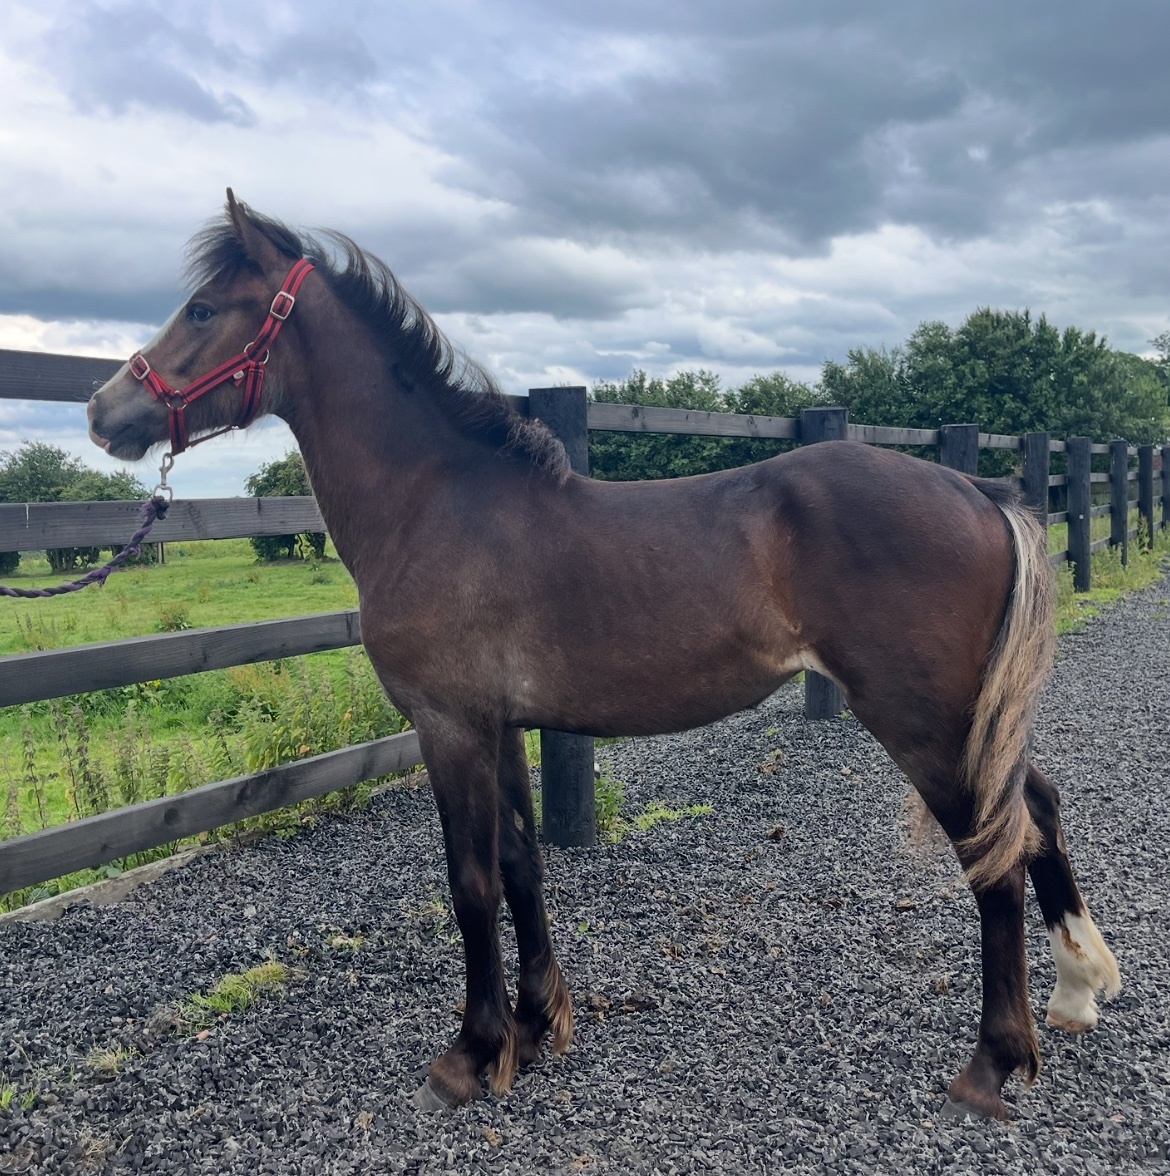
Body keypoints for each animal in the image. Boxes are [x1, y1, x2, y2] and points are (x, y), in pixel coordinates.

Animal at [87, 192, 1120, 1120]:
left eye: (203, 309)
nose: (104, 410)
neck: (434, 502)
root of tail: (978, 492)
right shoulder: (501, 726)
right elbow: (519, 864)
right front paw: (536, 1027)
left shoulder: (448, 726)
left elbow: (469, 884)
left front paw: (470, 1055)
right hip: (965, 717)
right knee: (1035, 811)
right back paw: (1077, 988)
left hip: (920, 718)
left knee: (995, 858)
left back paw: (992, 1066)